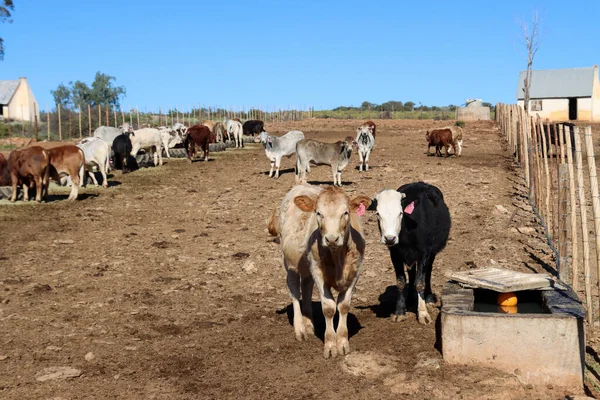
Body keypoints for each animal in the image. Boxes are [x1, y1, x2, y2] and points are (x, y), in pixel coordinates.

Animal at [268, 184, 370, 360]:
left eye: (345, 212)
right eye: (318, 213)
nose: (332, 238)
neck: (337, 257)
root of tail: (301, 184)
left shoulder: (355, 272)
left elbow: (343, 306)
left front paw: (342, 343)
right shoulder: (318, 272)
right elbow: (328, 308)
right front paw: (330, 345)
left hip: (306, 266)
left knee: (306, 287)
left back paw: (309, 324)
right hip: (290, 263)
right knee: (294, 290)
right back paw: (300, 328)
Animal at [370, 181, 450, 324]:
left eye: (400, 213)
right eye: (378, 213)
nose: (389, 238)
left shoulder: (425, 252)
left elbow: (420, 282)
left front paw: (423, 313)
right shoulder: (395, 253)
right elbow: (401, 281)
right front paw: (400, 312)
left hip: (431, 253)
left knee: (427, 272)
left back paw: (428, 299)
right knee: (412, 273)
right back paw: (411, 299)